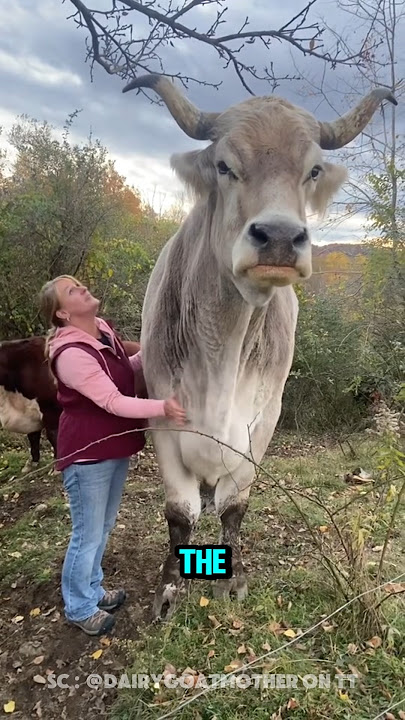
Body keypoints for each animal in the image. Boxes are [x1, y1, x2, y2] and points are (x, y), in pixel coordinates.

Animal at [123, 75, 396, 620]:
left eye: (313, 170)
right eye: (224, 165)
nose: (280, 237)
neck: (220, 352)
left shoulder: (263, 420)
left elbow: (234, 506)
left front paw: (233, 580)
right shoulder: (162, 416)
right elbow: (179, 512)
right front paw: (168, 589)